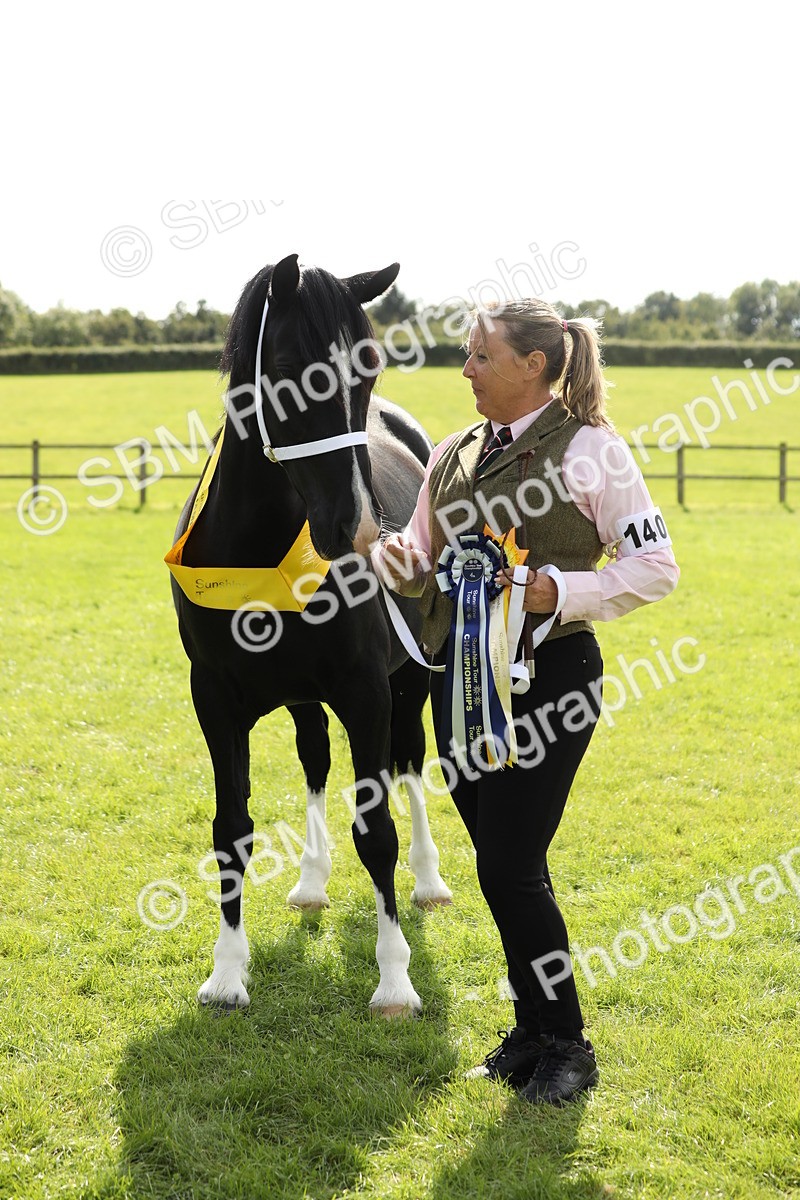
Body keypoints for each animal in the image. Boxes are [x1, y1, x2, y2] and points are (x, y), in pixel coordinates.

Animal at [169, 254, 452, 1017]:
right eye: (291, 366)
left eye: (371, 367)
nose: (356, 527)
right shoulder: (214, 701)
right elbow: (230, 830)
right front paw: (227, 973)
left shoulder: (367, 694)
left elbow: (377, 832)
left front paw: (394, 980)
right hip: (302, 699)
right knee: (316, 764)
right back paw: (312, 881)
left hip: (416, 676)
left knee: (410, 762)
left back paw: (428, 880)